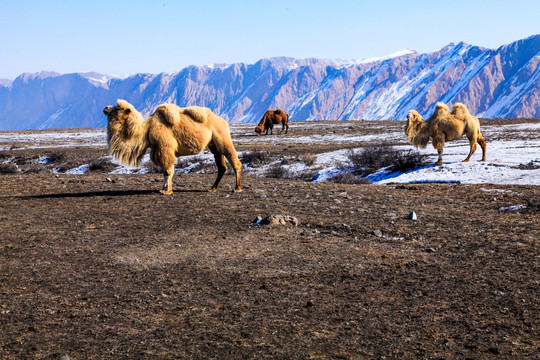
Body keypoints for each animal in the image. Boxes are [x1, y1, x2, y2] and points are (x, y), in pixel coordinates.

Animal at [104, 98, 243, 194]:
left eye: (117, 108)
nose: (105, 108)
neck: (146, 130)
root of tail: (224, 122)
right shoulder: (157, 150)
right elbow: (164, 171)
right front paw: (163, 188)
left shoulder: (165, 148)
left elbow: (168, 170)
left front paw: (167, 191)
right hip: (213, 145)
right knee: (221, 166)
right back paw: (212, 188)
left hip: (223, 138)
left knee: (234, 160)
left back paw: (237, 188)